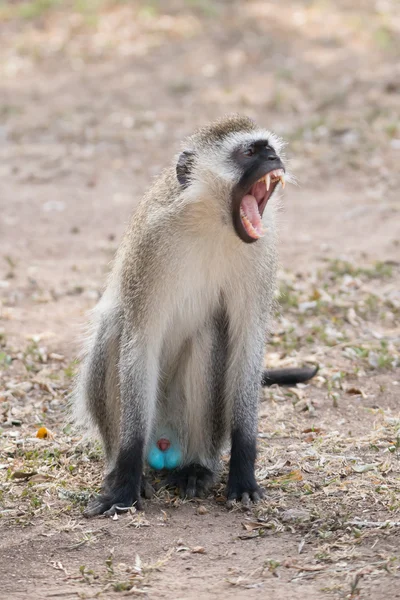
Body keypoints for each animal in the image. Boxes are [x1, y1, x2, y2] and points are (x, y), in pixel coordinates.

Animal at [72, 113, 316, 516]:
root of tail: (164, 444)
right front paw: (124, 484)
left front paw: (243, 474)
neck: (212, 223)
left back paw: (196, 468)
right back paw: (127, 469)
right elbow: (140, 341)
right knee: (115, 328)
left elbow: (248, 344)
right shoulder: (151, 246)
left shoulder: (262, 253)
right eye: (249, 152)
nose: (274, 160)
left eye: (269, 148)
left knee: (209, 334)